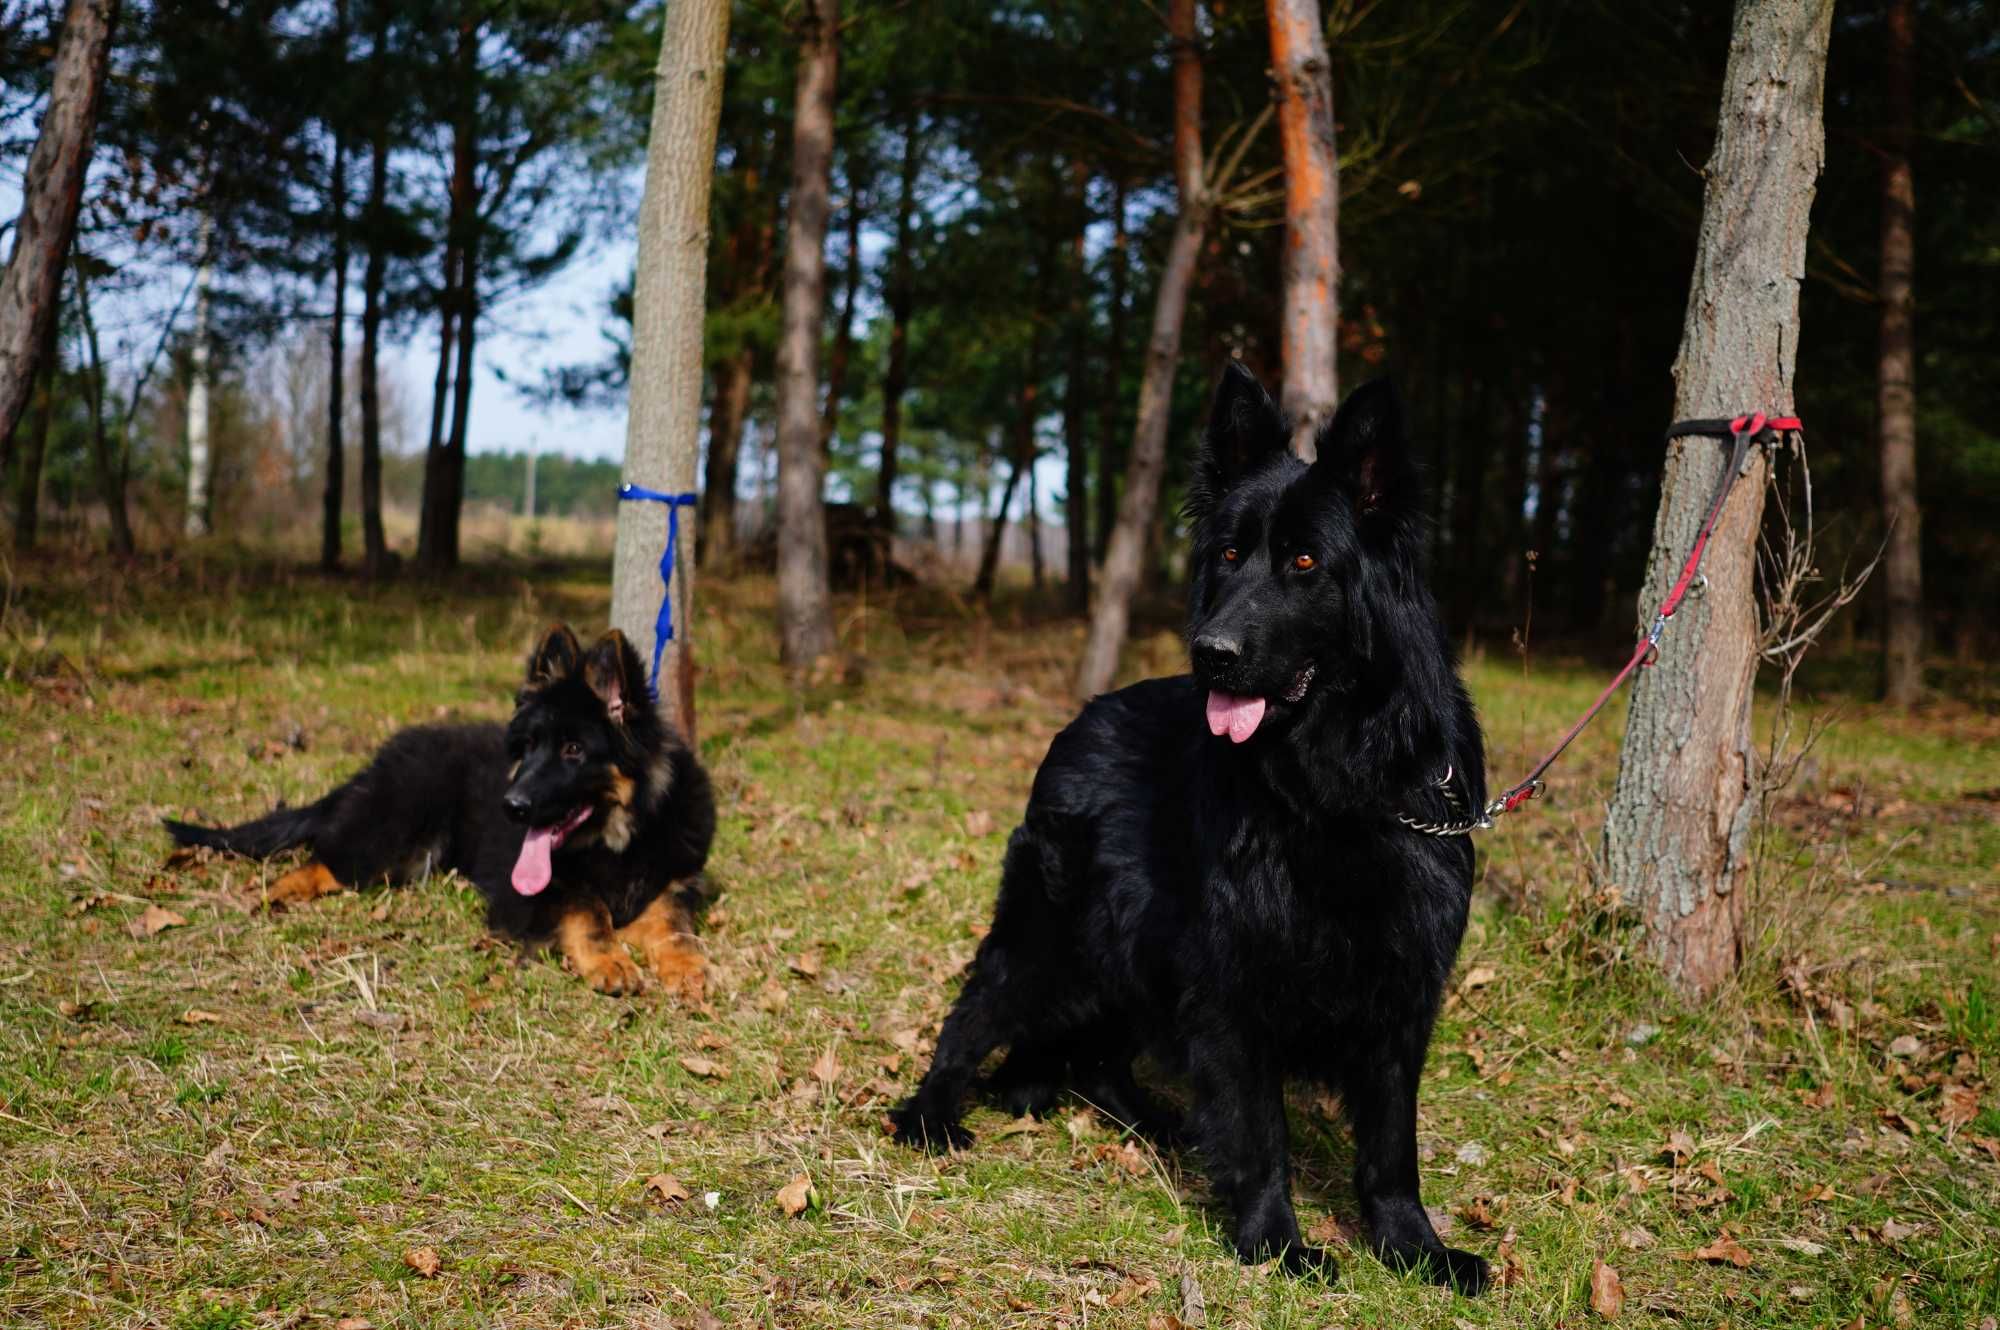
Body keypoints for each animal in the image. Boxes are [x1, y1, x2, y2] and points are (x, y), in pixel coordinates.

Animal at [170, 624, 720, 996]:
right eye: (529, 747)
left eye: (573, 751)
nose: (511, 806)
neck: (617, 841)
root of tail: (376, 763)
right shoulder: (527, 897)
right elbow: (588, 910)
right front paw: (611, 961)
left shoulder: (674, 884)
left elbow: (672, 926)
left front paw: (687, 966)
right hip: (393, 840)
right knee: (326, 859)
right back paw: (277, 891)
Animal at [900, 360, 1496, 1288]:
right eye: (1228, 554)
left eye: (1304, 561)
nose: (1210, 653)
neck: (1335, 788)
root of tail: (1078, 721)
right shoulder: (1230, 984)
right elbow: (1261, 1130)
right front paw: (1276, 1241)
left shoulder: (1402, 991)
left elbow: (1391, 1147)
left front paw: (1414, 1249)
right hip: (1054, 944)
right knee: (971, 1019)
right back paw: (930, 1114)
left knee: (1100, 1061)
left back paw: (1161, 1125)